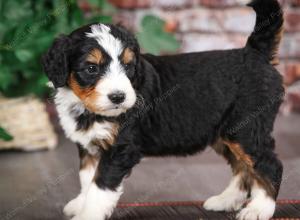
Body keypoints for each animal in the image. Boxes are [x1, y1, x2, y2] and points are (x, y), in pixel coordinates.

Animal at [41, 0, 284, 219]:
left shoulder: (120, 149)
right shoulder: (89, 146)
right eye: (91, 68)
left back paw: (259, 209)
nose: (118, 97)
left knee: (270, 166)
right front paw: (80, 204)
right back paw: (226, 201)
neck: (88, 109)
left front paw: (88, 214)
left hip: (246, 130)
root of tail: (255, 53)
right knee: (243, 168)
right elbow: (87, 179)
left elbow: (99, 188)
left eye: (128, 66)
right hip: (226, 134)